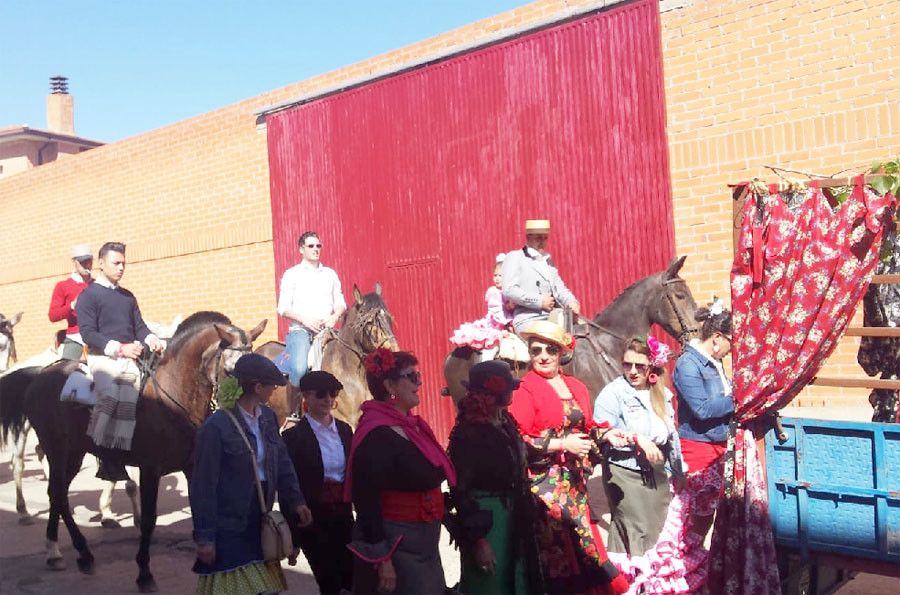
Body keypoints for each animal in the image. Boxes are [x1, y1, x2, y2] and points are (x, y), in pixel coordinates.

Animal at [0, 312, 266, 592]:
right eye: (231, 370)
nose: (248, 410)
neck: (173, 397)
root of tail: (40, 374)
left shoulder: (192, 466)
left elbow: (201, 511)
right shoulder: (150, 469)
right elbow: (148, 520)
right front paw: (144, 573)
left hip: (74, 453)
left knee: (56, 493)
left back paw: (56, 551)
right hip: (58, 449)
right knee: (57, 493)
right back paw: (81, 552)